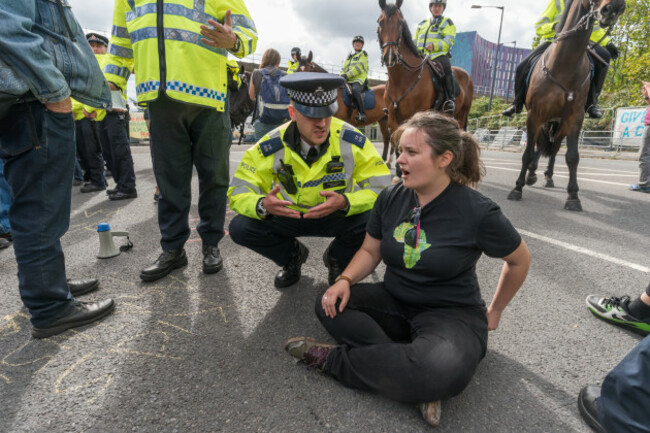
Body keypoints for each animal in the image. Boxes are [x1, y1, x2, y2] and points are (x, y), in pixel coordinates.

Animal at [374, 0, 470, 134]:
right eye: (380, 22)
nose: (390, 56)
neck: (402, 80)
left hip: (461, 116)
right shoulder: (393, 121)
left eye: (400, 23)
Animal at [506, 0, 624, 211]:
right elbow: (528, 153)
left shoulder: (574, 118)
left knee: (553, 149)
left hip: (558, 123)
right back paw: (532, 175)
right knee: (540, 147)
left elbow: (572, 157)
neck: (565, 65)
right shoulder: (534, 116)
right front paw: (517, 188)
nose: (614, 8)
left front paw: (573, 196)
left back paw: (548, 177)